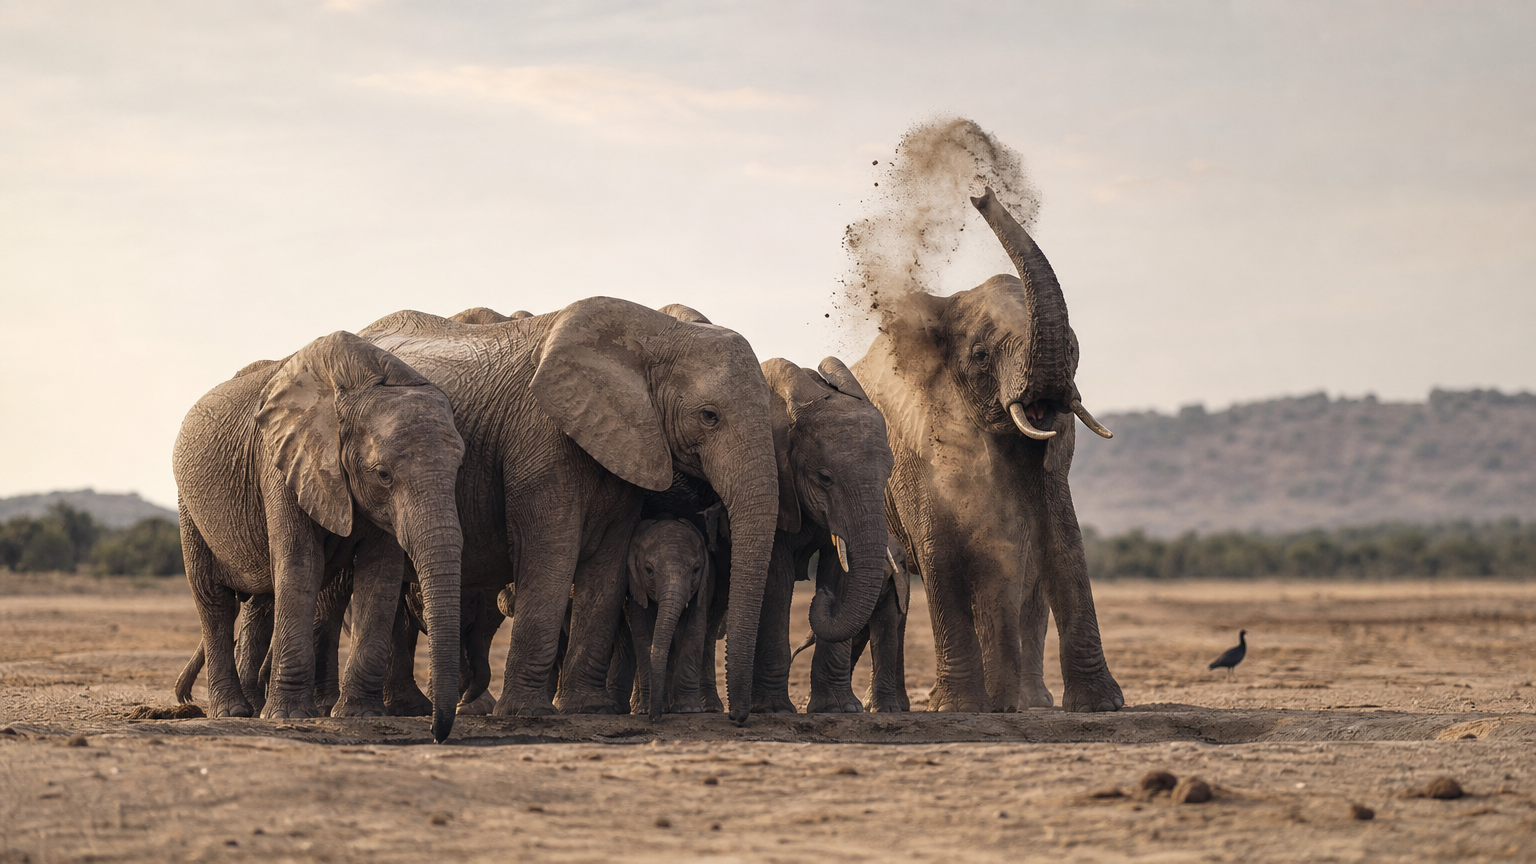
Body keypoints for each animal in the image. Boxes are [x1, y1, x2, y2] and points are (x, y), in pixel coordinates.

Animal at [172, 331, 466, 742]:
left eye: (460, 466)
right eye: (383, 474)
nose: (437, 735)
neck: (359, 384)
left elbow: (381, 574)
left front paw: (359, 715)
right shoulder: (281, 462)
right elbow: (300, 565)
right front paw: (287, 715)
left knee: (262, 601)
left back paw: (253, 706)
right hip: (189, 507)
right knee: (214, 599)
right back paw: (231, 711)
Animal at [625, 516, 712, 721]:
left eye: (696, 570)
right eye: (648, 570)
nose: (654, 719)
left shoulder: (702, 588)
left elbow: (694, 631)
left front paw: (688, 709)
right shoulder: (635, 588)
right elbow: (642, 635)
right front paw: (645, 710)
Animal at [851, 188, 1124, 714]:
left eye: (1075, 349)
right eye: (980, 356)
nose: (981, 192)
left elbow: (1063, 543)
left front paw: (1102, 706)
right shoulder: (912, 446)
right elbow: (939, 549)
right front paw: (960, 709)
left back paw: (1026, 702)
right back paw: (899, 707)